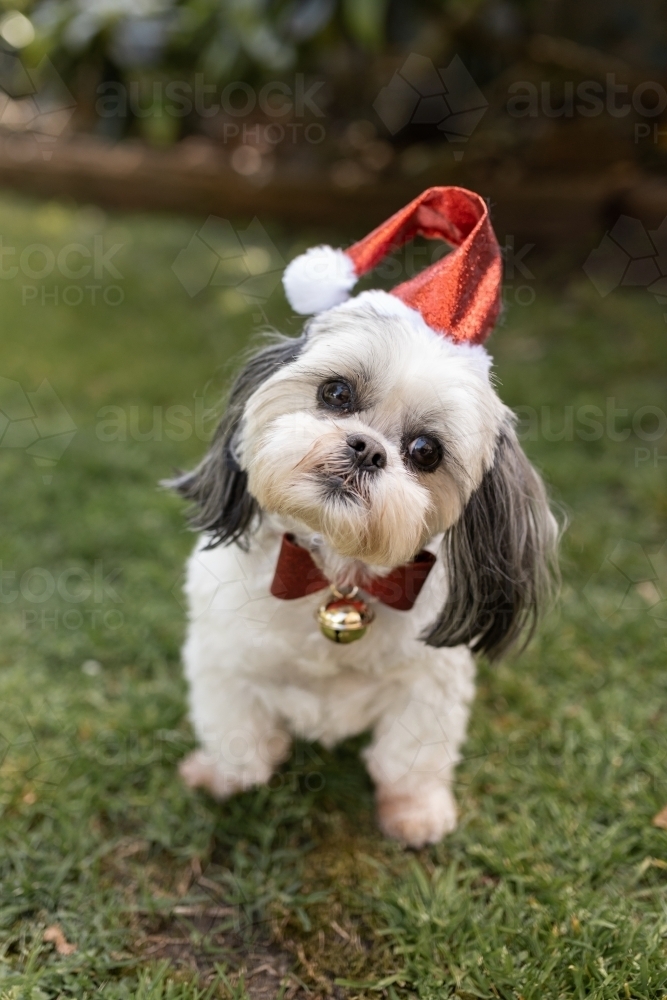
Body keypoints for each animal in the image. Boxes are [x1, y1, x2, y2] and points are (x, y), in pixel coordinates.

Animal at [172, 186, 560, 844]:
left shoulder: (430, 685)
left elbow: (409, 757)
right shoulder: (224, 660)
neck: (335, 577)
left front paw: (416, 813)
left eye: (426, 451)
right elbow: (238, 734)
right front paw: (224, 777)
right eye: (335, 393)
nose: (366, 448)